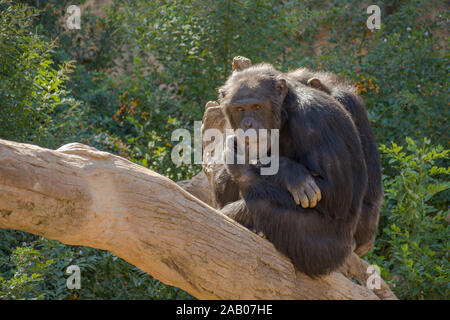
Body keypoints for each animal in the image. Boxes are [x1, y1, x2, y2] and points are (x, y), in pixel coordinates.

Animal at [213, 63, 382, 278]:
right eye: (240, 109)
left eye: (257, 107)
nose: (248, 123)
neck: (285, 112)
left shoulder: (316, 118)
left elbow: (337, 192)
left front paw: (289, 172)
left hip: (324, 253)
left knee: (262, 202)